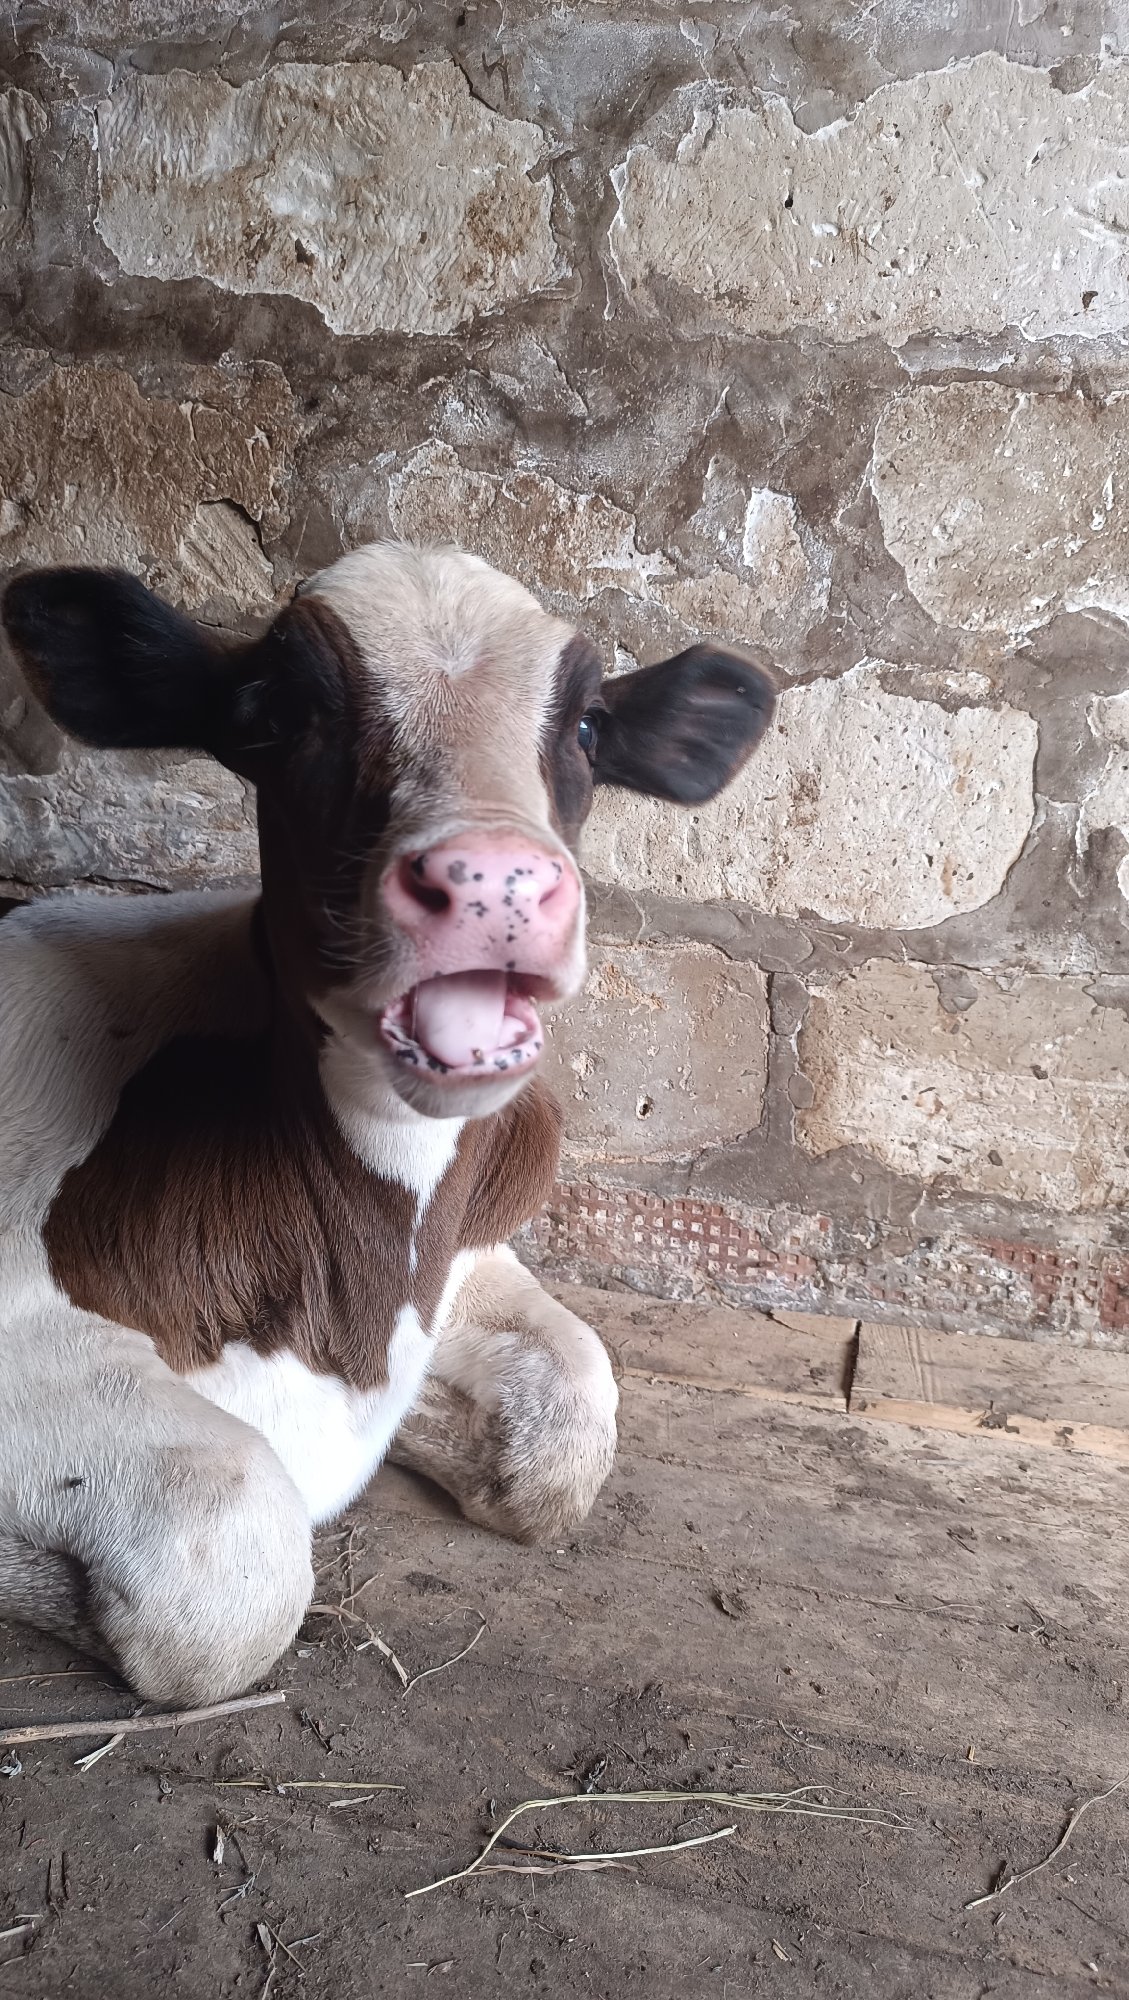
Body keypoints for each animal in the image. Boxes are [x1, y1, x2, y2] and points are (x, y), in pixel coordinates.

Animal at [0, 543, 775, 1705]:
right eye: (275, 712)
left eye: (589, 726)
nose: (494, 878)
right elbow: (230, 1561)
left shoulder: (462, 1256)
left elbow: (563, 1434)